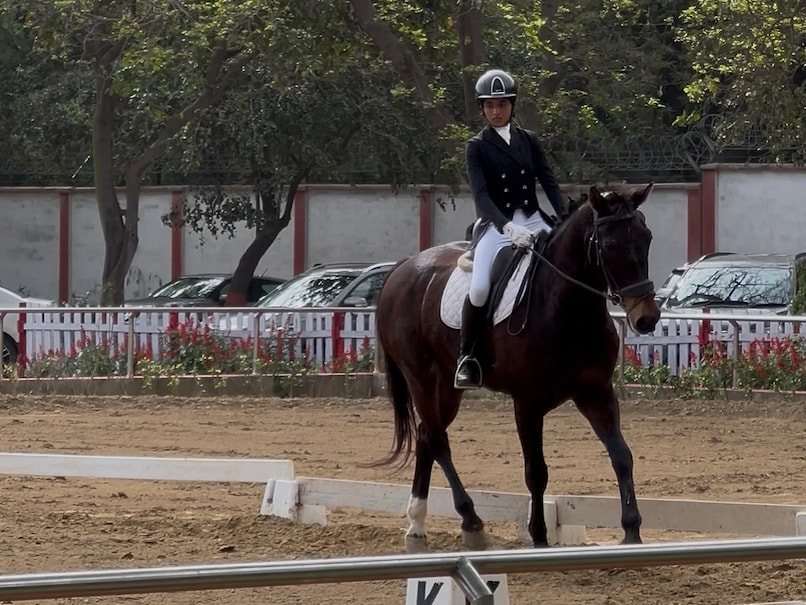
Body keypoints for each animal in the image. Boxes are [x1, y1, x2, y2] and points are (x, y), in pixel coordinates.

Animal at [374, 183, 660, 552]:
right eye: (609, 244)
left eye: (646, 238)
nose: (646, 318)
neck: (568, 309)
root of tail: (404, 266)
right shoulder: (527, 402)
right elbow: (536, 471)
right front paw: (538, 536)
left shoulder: (595, 392)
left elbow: (621, 455)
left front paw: (631, 531)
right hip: (419, 376)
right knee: (437, 439)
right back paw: (470, 519)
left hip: (448, 385)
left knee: (427, 433)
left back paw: (417, 523)